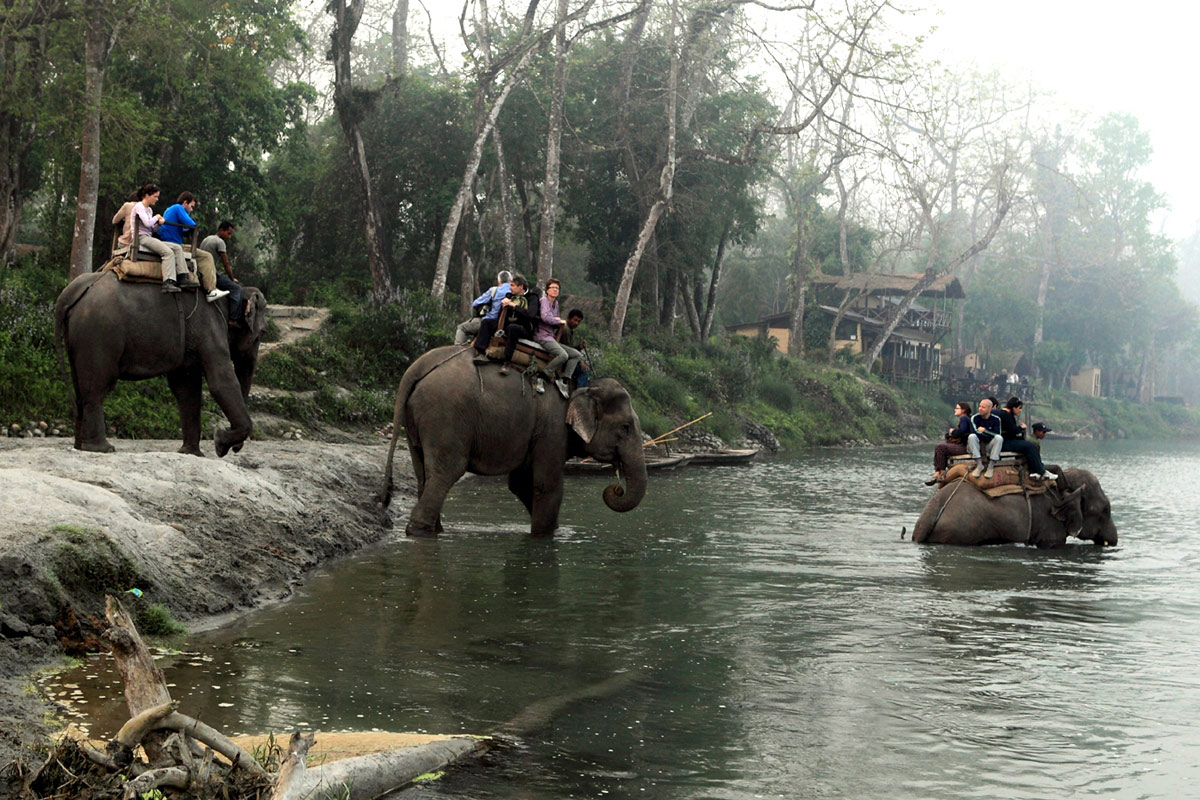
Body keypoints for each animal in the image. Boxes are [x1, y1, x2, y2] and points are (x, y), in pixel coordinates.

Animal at [54, 271, 270, 453]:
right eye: (262, 333)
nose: (234, 449)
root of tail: (69, 293)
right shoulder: (209, 325)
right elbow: (221, 382)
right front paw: (219, 443)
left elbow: (186, 387)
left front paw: (191, 453)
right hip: (99, 334)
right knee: (98, 387)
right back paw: (102, 448)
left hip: (80, 336)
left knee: (81, 386)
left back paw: (80, 446)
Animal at [381, 345, 648, 537]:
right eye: (625, 428)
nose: (616, 488)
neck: (583, 386)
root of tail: (416, 369)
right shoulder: (553, 428)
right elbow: (546, 485)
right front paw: (546, 537)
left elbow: (520, 483)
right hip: (446, 417)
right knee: (446, 471)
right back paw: (420, 532)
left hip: (418, 422)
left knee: (423, 473)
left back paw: (435, 530)